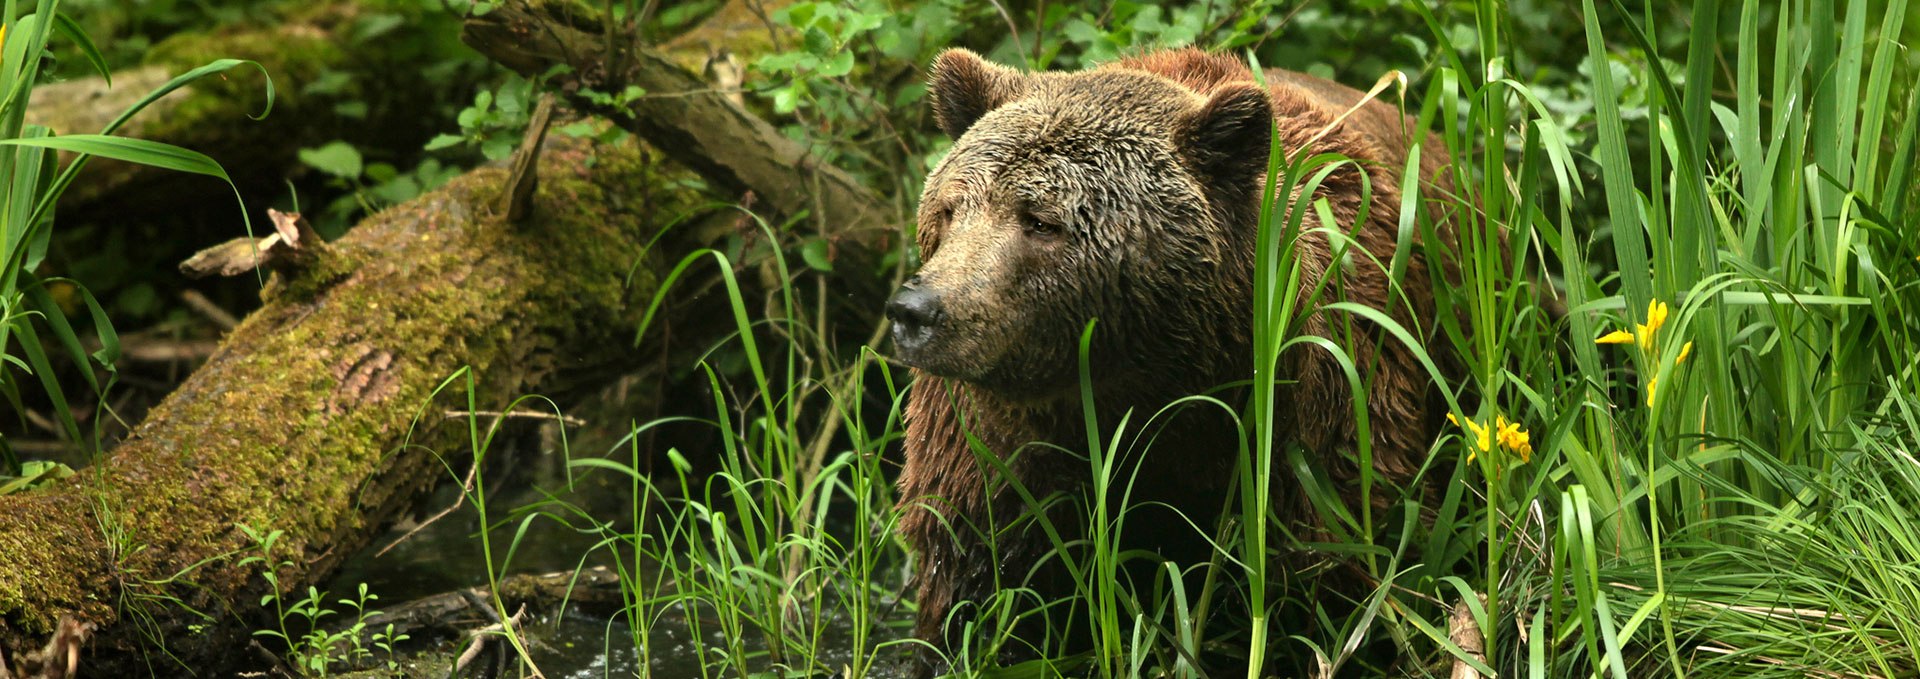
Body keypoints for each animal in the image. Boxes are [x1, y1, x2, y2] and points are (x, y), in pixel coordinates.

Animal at [890, 49, 1443, 675]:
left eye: (1041, 221)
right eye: (951, 208)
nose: (917, 311)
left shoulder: (1316, 412)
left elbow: (1336, 567)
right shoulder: (992, 445)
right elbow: (978, 583)